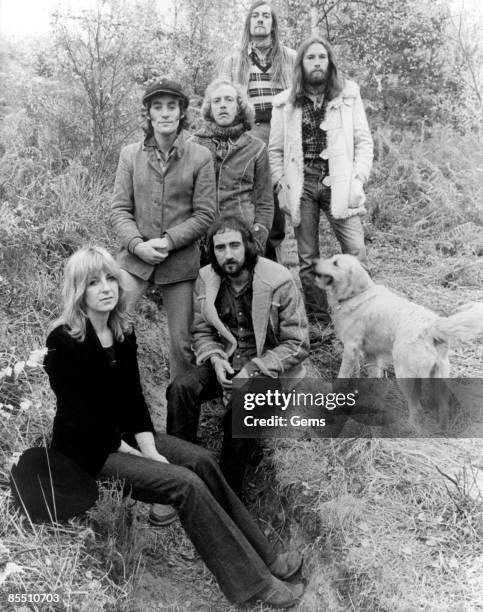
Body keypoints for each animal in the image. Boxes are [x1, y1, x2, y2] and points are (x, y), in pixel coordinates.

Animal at [314, 253, 483, 430]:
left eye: (335, 263)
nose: (313, 263)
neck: (356, 295)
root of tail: (432, 325)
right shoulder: (372, 354)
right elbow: (373, 377)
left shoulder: (350, 347)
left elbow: (342, 375)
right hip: (438, 376)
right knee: (443, 405)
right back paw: (442, 429)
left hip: (404, 374)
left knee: (417, 408)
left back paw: (407, 428)